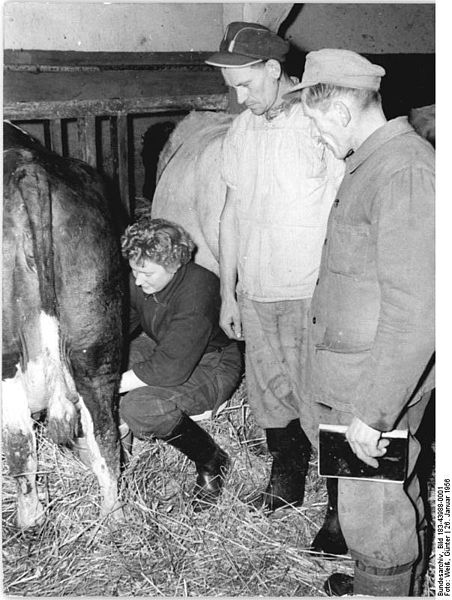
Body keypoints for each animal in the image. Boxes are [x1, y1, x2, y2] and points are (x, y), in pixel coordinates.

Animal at [2, 123, 125, 528]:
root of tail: (28, 164)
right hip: (95, 336)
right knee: (105, 432)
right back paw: (113, 517)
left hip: (7, 353)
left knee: (18, 442)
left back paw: (28, 520)